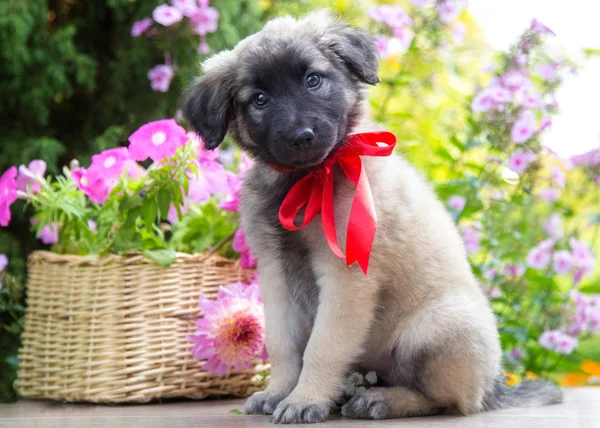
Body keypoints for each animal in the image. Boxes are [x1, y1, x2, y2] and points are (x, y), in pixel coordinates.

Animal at [184, 10, 564, 424]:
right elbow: (283, 345)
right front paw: (278, 392)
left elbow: (322, 347)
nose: (301, 136)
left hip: (435, 327)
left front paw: (304, 399)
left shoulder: (345, 280)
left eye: (313, 80)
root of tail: (496, 386)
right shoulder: (275, 275)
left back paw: (382, 400)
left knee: (447, 401)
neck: (311, 178)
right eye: (259, 99)